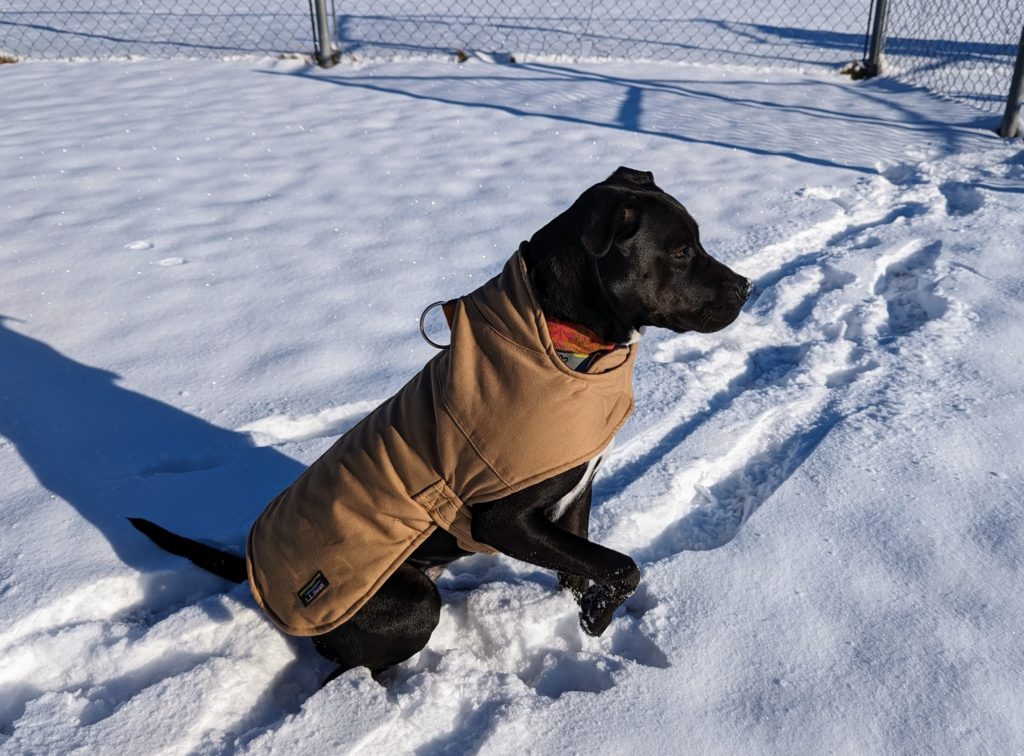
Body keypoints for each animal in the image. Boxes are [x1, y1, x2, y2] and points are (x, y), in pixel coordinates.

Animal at [132, 165, 749, 684]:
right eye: (681, 251)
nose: (746, 286)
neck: (562, 342)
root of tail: (257, 578)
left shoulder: (575, 494)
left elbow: (588, 568)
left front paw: (588, 621)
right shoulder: (504, 521)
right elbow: (622, 566)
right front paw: (598, 621)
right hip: (408, 604)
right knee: (350, 673)